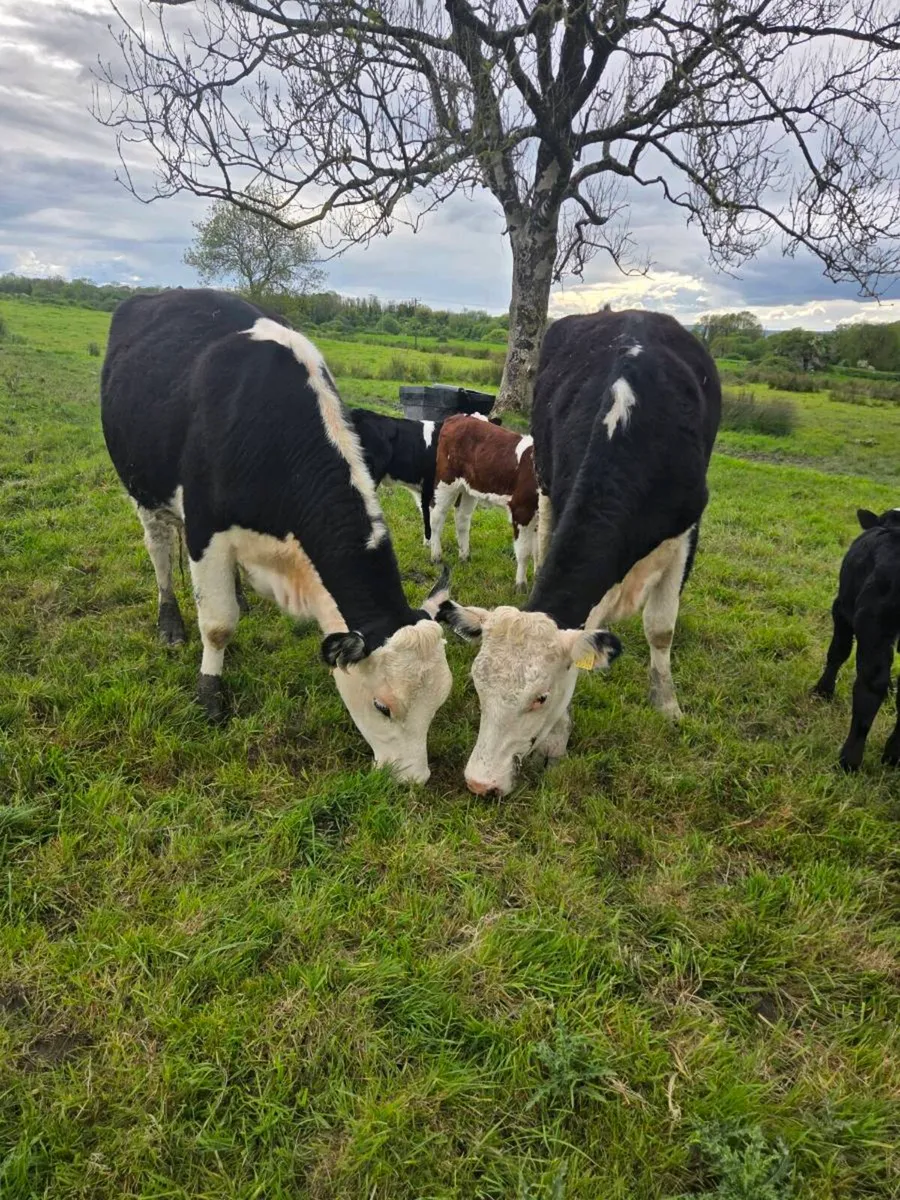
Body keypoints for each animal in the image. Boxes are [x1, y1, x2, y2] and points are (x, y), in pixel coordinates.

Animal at [429, 414, 539, 591]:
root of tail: (458, 417)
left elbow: (538, 551)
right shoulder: (521, 510)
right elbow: (525, 551)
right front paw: (521, 586)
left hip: (469, 487)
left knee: (462, 518)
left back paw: (464, 556)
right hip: (446, 481)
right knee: (437, 516)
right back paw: (436, 556)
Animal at [812, 507, 900, 771]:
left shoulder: (841, 608)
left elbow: (838, 651)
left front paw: (823, 690)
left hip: (873, 625)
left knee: (870, 685)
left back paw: (849, 760)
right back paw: (892, 756)